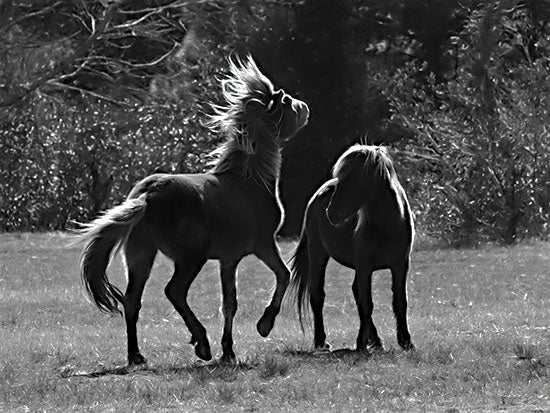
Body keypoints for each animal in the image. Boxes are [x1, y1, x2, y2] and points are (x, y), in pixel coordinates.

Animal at [79, 55, 310, 364]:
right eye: (285, 101)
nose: (304, 107)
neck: (250, 178)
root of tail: (148, 195)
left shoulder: (229, 259)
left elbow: (229, 303)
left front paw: (229, 350)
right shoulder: (263, 245)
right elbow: (283, 275)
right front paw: (264, 324)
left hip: (141, 256)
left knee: (132, 302)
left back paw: (136, 355)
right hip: (191, 258)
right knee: (174, 291)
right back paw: (201, 343)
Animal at [292, 144, 416, 350]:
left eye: (355, 178)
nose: (331, 213)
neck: (387, 227)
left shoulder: (400, 266)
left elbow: (400, 302)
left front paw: (406, 341)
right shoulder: (365, 267)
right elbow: (367, 304)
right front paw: (361, 343)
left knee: (355, 292)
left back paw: (376, 341)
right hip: (318, 254)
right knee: (317, 295)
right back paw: (321, 341)